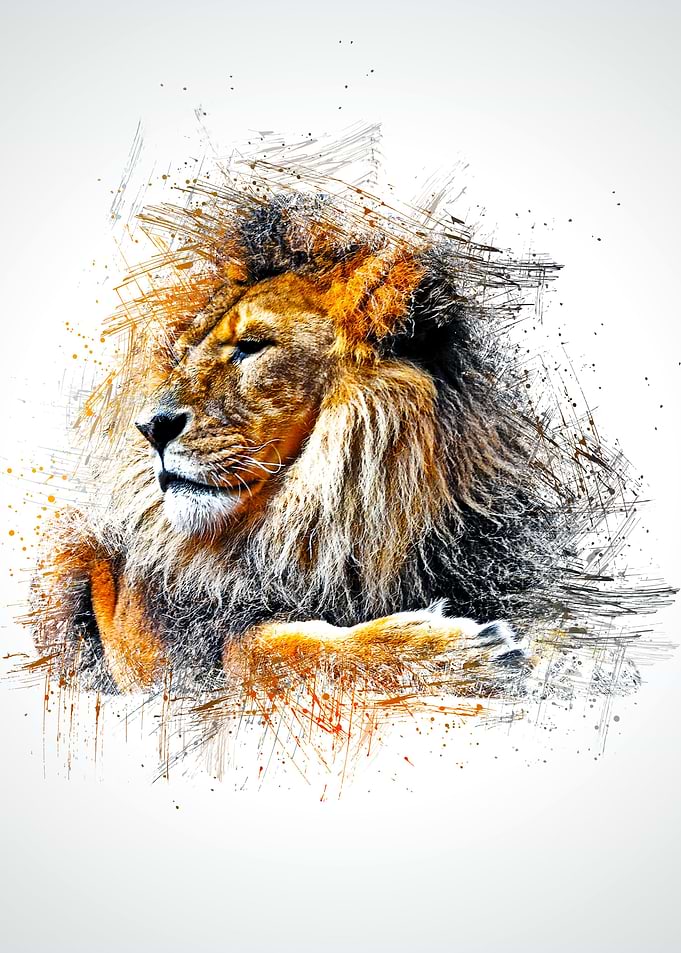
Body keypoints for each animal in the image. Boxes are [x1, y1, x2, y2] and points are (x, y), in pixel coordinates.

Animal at [32, 192, 558, 697]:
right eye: (184, 356)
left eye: (251, 347)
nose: (150, 426)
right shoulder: (151, 648)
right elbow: (251, 652)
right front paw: (461, 654)